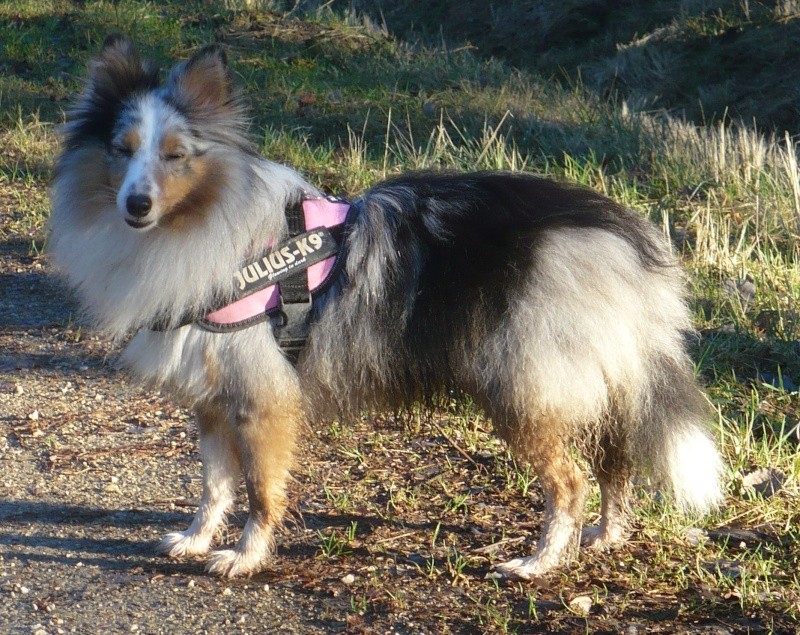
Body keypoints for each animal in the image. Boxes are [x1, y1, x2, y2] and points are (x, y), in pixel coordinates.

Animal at [50, 36, 724, 580]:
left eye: (174, 155)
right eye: (120, 149)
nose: (135, 205)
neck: (203, 222)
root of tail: (623, 239)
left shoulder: (262, 399)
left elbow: (260, 491)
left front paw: (244, 557)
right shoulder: (213, 397)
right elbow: (214, 485)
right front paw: (194, 540)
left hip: (527, 387)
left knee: (572, 481)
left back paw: (538, 563)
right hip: (596, 382)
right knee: (616, 464)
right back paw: (604, 538)